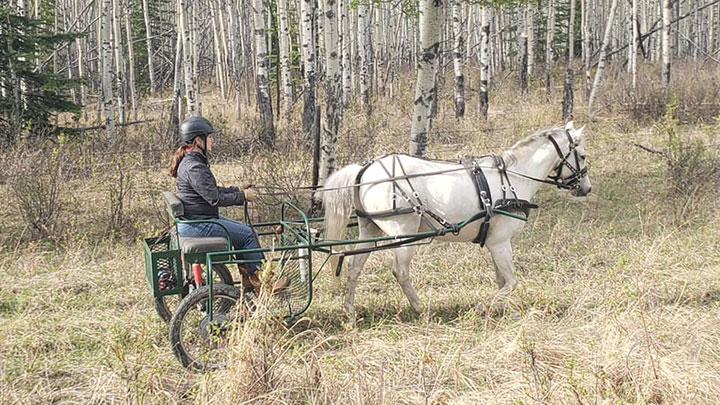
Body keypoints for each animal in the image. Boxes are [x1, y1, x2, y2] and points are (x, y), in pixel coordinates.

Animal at [322, 121, 592, 318]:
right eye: (583, 155)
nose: (586, 188)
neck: (512, 179)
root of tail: (364, 170)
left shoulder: (494, 242)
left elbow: (502, 281)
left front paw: (508, 310)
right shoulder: (500, 242)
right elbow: (510, 283)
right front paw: (483, 307)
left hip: (370, 229)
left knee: (354, 268)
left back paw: (350, 311)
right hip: (403, 232)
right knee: (400, 272)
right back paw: (419, 308)